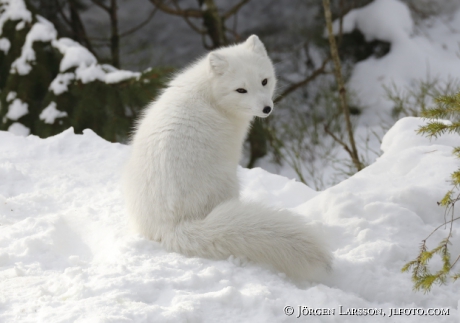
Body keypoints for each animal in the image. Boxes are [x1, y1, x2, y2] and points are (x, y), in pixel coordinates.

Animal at [122, 34, 330, 280]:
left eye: (264, 81)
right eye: (241, 90)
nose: (267, 109)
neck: (210, 96)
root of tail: (171, 226)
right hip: (229, 181)